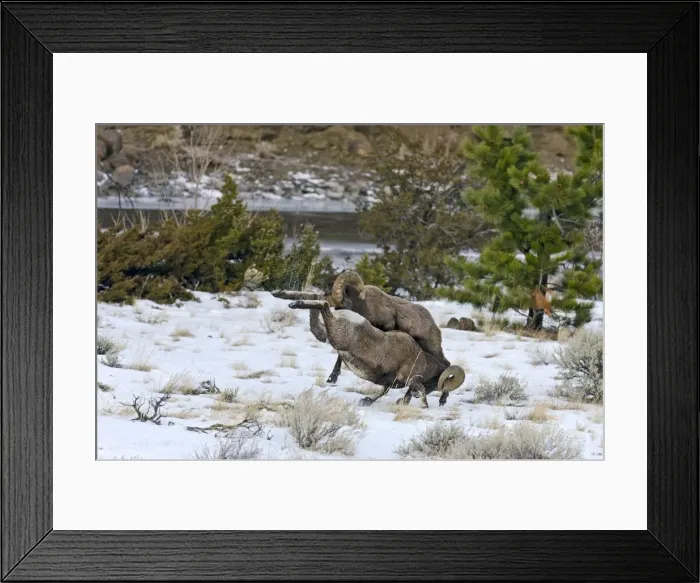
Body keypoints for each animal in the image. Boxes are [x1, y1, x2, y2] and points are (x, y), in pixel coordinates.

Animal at [287, 299, 465, 408]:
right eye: (437, 383)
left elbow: (382, 393)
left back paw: (295, 303)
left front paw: (366, 401)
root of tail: (349, 316)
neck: (422, 361)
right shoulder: (411, 380)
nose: (414, 396)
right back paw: (295, 303)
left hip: (332, 335)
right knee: (323, 304)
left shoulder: (389, 384)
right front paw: (424, 405)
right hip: (338, 337)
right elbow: (419, 387)